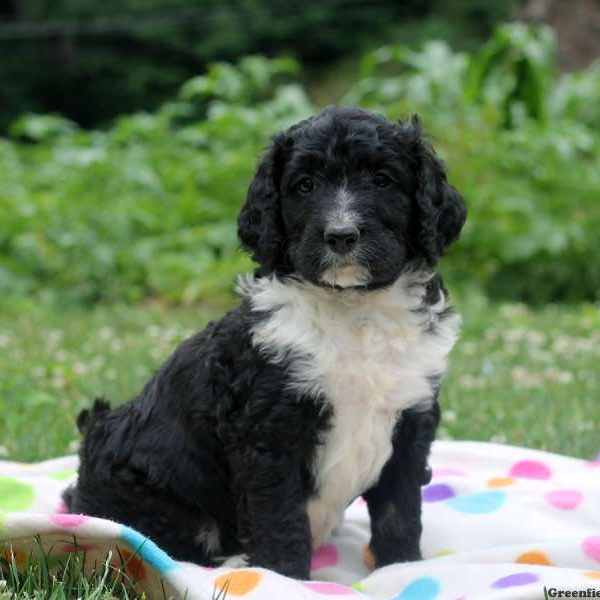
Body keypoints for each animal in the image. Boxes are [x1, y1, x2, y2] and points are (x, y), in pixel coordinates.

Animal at [67, 105, 468, 580]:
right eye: (305, 185)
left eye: (382, 180)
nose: (341, 235)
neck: (353, 309)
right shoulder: (267, 430)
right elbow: (279, 514)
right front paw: (282, 576)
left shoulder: (411, 419)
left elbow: (399, 508)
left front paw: (400, 569)